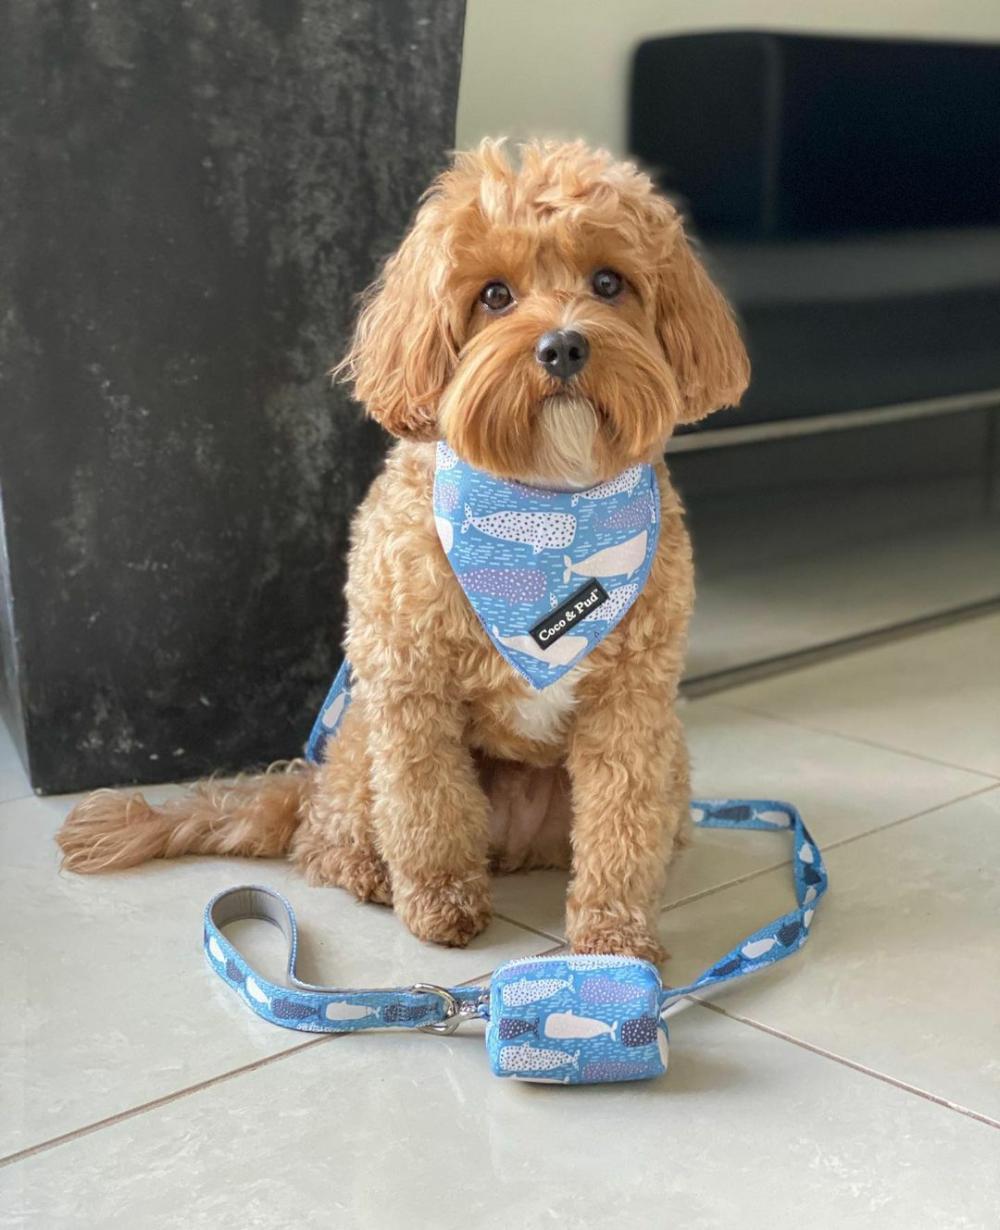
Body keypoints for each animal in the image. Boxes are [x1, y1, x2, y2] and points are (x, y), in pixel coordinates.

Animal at [52, 137, 742, 959]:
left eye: (610, 283)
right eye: (495, 295)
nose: (564, 346)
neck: (549, 506)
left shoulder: (632, 704)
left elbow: (621, 823)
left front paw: (614, 936)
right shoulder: (411, 687)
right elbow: (427, 806)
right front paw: (441, 900)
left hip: (668, 763)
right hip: (357, 741)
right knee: (323, 837)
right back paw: (367, 870)